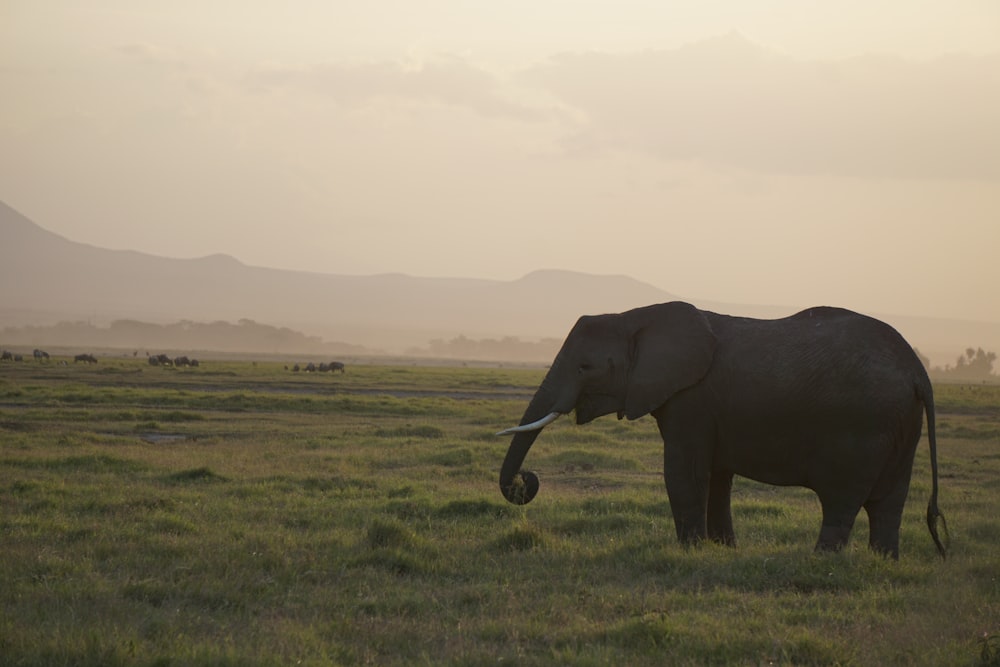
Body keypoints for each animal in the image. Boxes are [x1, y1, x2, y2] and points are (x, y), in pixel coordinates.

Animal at [496, 302, 948, 560]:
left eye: (585, 367)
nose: (526, 481)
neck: (634, 318)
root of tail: (918, 371)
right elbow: (716, 477)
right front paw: (722, 549)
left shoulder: (692, 401)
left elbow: (684, 473)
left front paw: (691, 551)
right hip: (900, 425)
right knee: (888, 502)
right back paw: (884, 562)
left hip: (862, 427)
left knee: (842, 498)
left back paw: (822, 561)